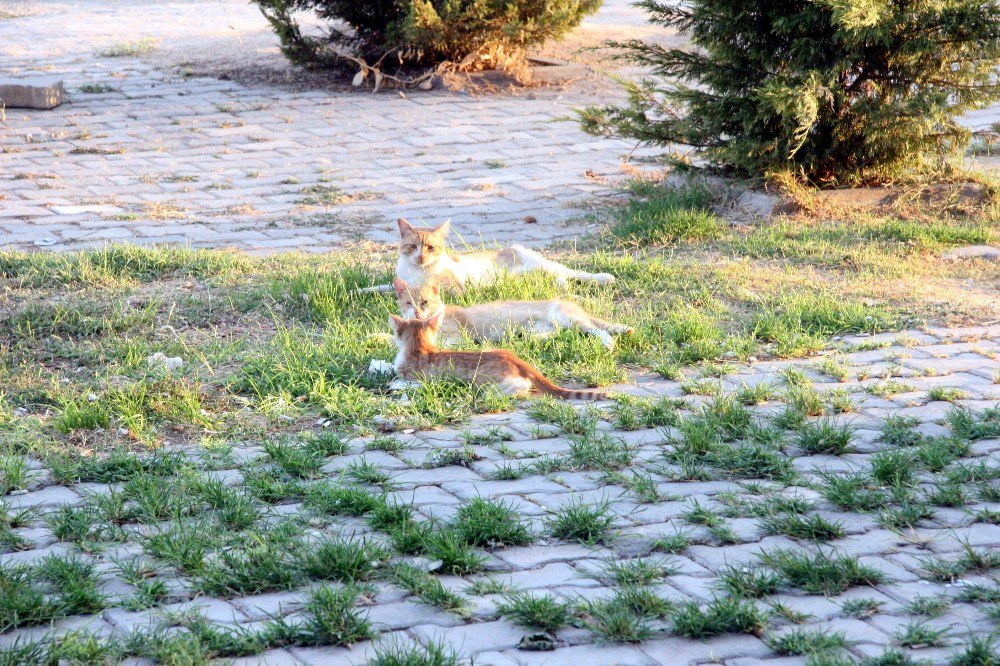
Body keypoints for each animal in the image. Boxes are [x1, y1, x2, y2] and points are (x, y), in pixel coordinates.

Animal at [356, 219, 612, 292]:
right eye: (412, 246)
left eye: (431, 248)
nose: (421, 257)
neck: (415, 271)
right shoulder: (398, 282)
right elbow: (384, 287)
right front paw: (362, 290)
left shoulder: (452, 288)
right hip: (532, 276)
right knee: (559, 278)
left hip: (544, 266)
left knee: (573, 273)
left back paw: (603, 278)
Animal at [388, 312, 608, 400]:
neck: (420, 347)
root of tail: (515, 359)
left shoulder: (409, 375)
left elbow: (398, 378)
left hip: (482, 378)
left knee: (520, 385)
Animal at [392, 274, 632, 350]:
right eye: (408, 303)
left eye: (424, 302)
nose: (416, 313)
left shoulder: (458, 337)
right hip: (539, 329)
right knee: (556, 334)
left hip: (567, 318)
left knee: (598, 330)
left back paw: (608, 343)